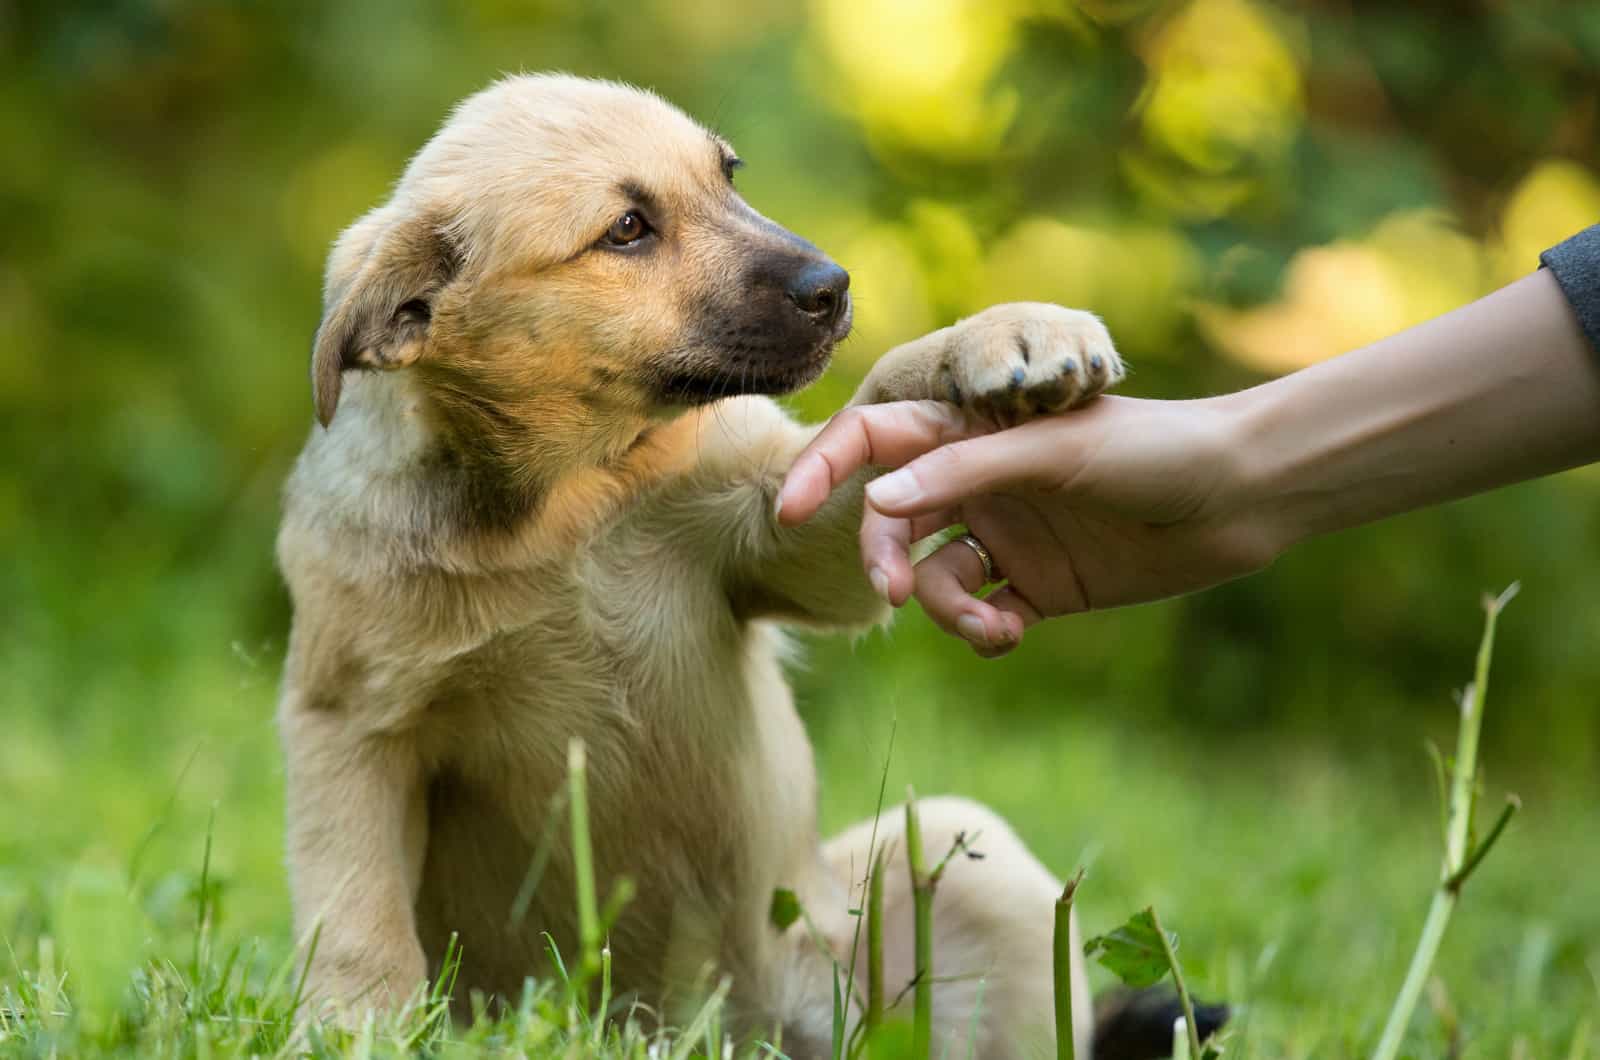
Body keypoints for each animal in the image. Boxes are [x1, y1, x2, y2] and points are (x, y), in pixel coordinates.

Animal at [275, 76, 1126, 1060]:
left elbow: (878, 398)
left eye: (728, 175)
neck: (569, 504)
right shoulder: (349, 721)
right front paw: (353, 1026)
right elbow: (357, 913)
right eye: (627, 229)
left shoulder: (783, 528)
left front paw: (1000, 335)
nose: (834, 287)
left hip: (962, 866)